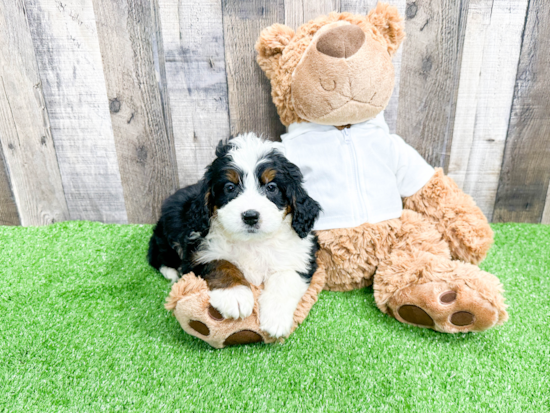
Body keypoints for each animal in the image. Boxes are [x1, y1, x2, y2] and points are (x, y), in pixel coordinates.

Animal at [149, 134, 322, 336]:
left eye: (271, 187)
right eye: (230, 188)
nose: (250, 216)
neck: (252, 242)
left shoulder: (302, 254)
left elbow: (285, 277)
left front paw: (275, 317)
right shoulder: (198, 250)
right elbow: (221, 263)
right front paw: (235, 295)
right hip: (169, 228)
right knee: (156, 252)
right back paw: (171, 271)